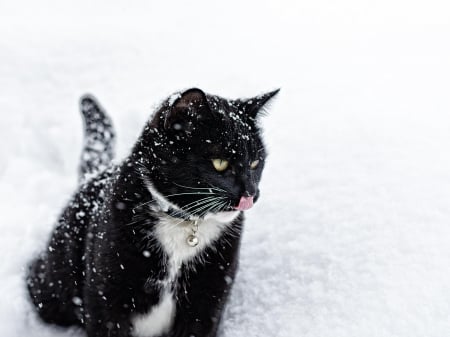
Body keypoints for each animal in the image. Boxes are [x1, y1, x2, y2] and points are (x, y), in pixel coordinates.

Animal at [26, 87, 280, 336]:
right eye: (220, 163)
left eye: (256, 163)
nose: (250, 193)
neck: (184, 225)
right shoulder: (107, 292)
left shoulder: (210, 294)